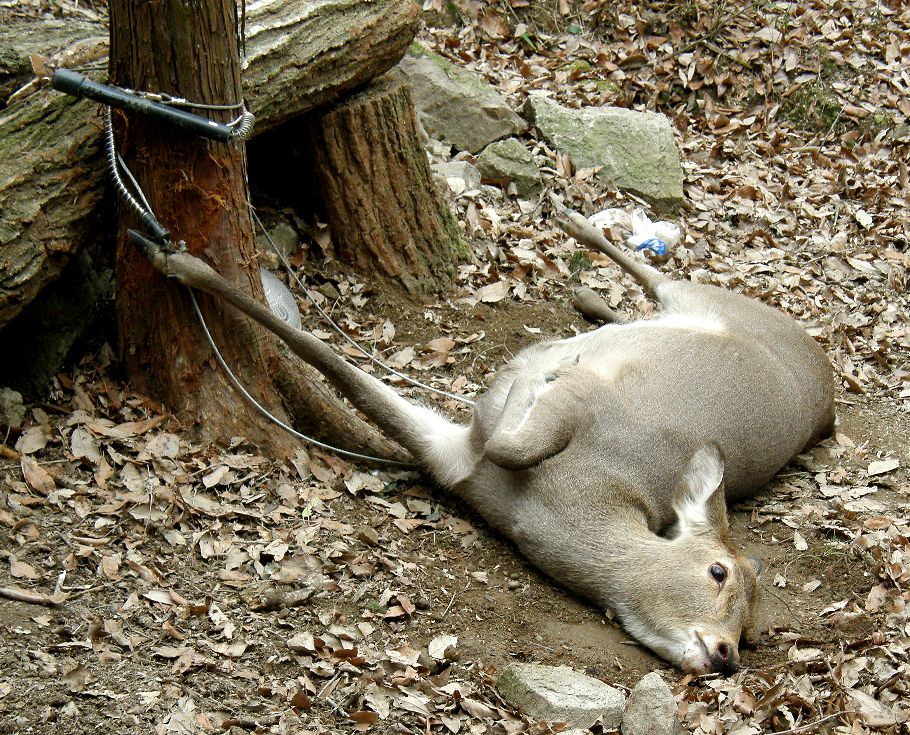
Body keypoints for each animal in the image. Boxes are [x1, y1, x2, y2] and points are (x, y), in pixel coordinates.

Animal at [132, 204, 836, 676]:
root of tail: (828, 397)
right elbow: (500, 428)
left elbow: (350, 379)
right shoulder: (569, 411)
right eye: (718, 570)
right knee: (657, 275)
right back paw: (571, 225)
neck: (557, 506)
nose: (725, 655)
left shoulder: (452, 461)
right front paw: (172, 256)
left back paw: (584, 289)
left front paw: (173, 258)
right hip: (716, 296)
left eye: (752, 631)